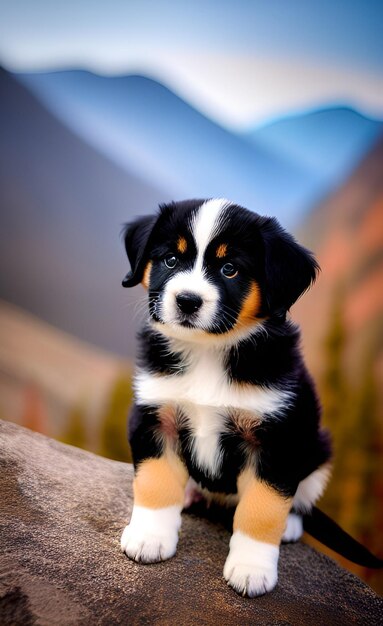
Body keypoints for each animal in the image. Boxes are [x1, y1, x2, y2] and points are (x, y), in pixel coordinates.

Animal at [121, 199, 332, 596]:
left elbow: (263, 508)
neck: (209, 351)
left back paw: (291, 525)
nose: (187, 301)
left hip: (318, 445)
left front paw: (251, 569)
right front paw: (149, 537)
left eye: (230, 269)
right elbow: (155, 482)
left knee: (300, 495)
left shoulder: (278, 438)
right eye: (170, 259)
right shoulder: (156, 416)